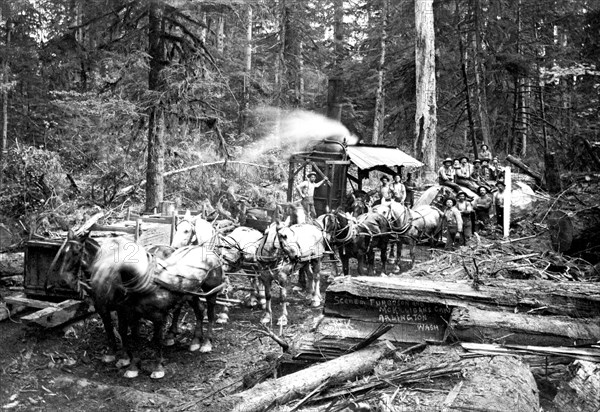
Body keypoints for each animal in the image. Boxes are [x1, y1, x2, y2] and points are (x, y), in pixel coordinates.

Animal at [58, 230, 227, 378]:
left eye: (76, 252)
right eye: (62, 253)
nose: (64, 280)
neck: (147, 285)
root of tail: (209, 252)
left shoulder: (156, 317)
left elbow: (154, 340)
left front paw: (156, 368)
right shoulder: (127, 313)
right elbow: (131, 337)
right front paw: (131, 364)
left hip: (211, 292)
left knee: (210, 313)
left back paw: (206, 343)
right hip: (191, 294)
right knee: (199, 311)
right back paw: (195, 340)